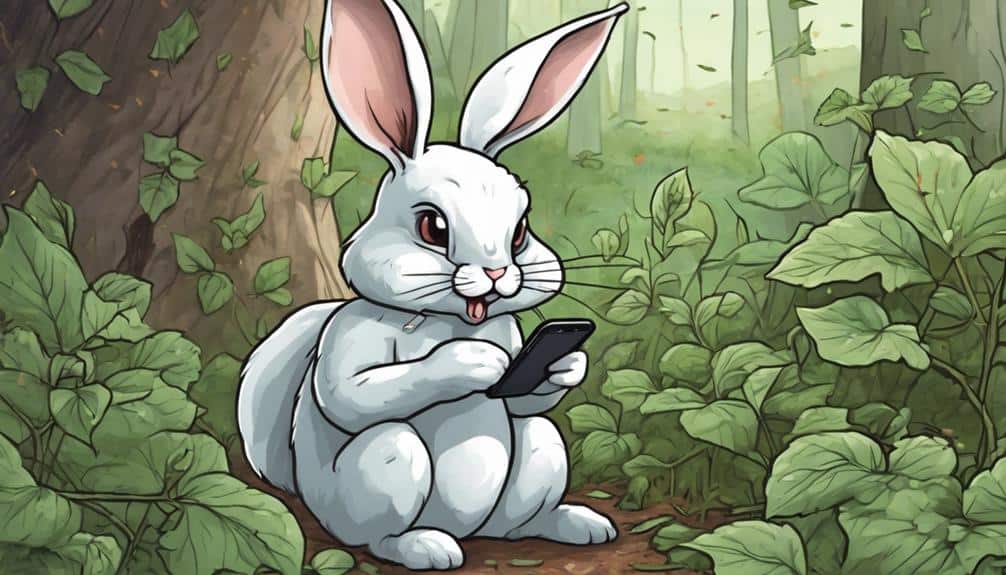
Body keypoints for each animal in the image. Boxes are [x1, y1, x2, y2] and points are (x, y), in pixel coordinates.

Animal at [236, 0, 627, 570]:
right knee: (376, 531)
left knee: (524, 497)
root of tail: (465, 530)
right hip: (384, 466)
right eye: (433, 227)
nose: (496, 273)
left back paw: (578, 525)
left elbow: (527, 399)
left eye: (519, 231)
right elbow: (349, 393)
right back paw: (427, 548)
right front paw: (476, 362)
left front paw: (568, 363)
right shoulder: (350, 338)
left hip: (542, 453)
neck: (449, 320)